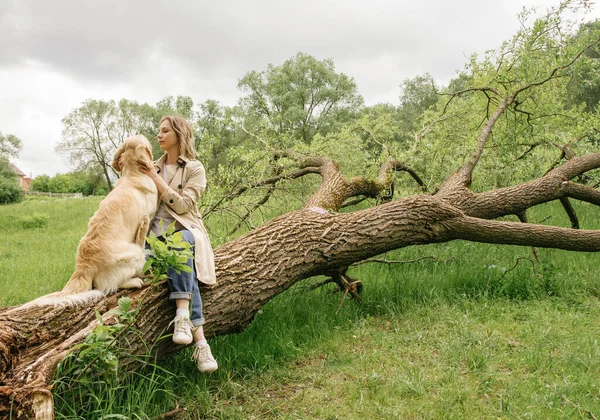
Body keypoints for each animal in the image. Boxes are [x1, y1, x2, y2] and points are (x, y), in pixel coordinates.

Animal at [19, 135, 157, 308]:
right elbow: (143, 236)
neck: (132, 174)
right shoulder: (146, 219)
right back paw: (134, 281)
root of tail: (83, 266)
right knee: (108, 286)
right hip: (134, 254)